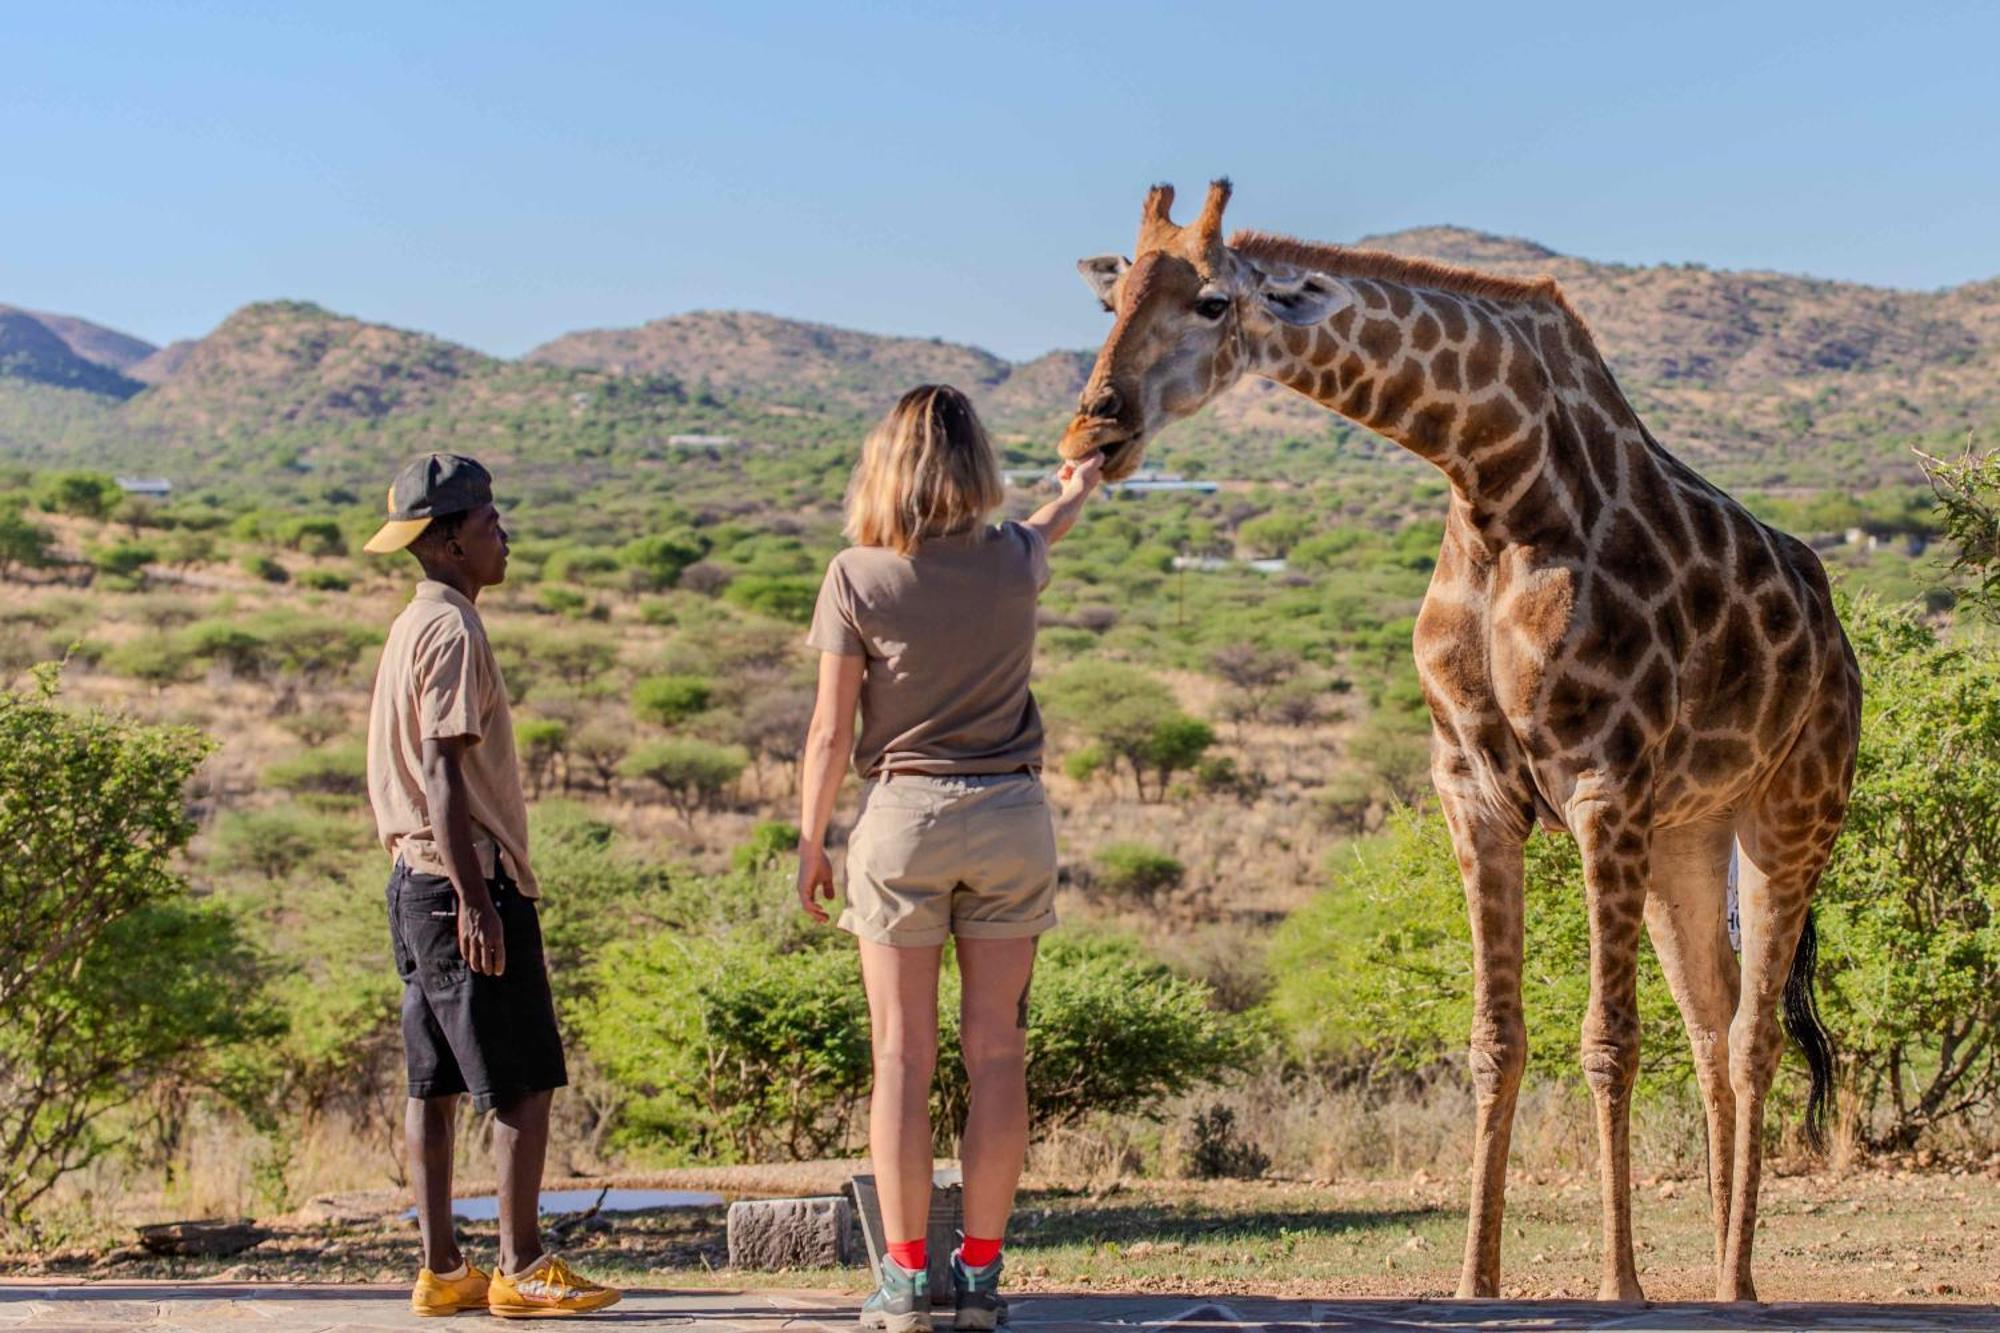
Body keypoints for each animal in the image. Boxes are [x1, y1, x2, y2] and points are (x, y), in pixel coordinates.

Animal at [1064, 179, 1856, 1296]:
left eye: (1214, 301)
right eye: (1111, 300)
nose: (1092, 431)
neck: (1498, 480)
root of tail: (1834, 631)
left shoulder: (1602, 782)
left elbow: (1607, 1040)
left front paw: (1618, 1284)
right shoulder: (1473, 788)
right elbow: (1494, 1039)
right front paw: (1474, 1279)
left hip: (1793, 808)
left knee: (1753, 1036)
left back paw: (1738, 1281)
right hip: (1687, 836)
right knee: (1711, 1022)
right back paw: (1717, 1274)